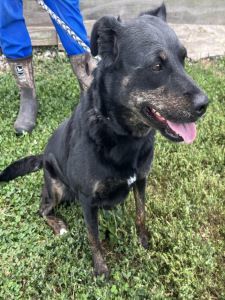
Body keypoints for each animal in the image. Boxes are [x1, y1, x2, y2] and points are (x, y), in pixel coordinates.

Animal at [0, 4, 208, 276]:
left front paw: (143, 241)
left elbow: (141, 213)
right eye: (156, 66)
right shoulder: (87, 200)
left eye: (183, 59)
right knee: (42, 209)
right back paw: (59, 225)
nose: (205, 104)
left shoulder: (141, 180)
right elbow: (94, 237)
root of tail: (43, 157)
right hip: (56, 188)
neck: (122, 134)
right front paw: (101, 269)